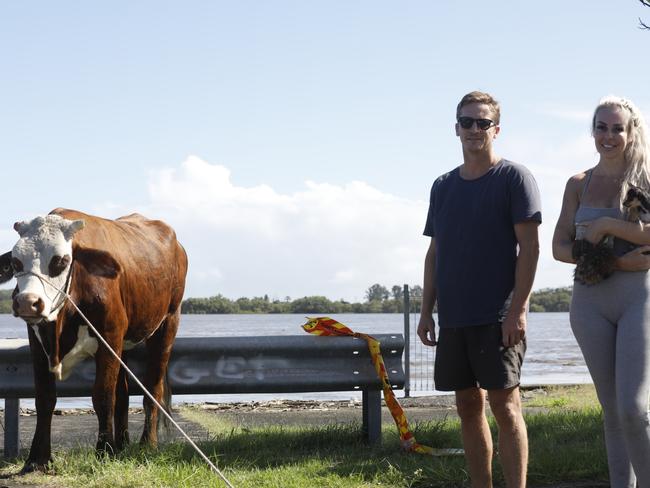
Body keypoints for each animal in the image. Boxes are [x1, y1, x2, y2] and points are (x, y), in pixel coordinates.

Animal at [0, 207, 187, 472]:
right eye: (16, 262)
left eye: (60, 261)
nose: (28, 302)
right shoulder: (38, 344)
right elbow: (44, 399)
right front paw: (38, 459)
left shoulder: (108, 339)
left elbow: (103, 397)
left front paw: (105, 451)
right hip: (124, 344)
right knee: (124, 394)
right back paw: (122, 445)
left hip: (167, 324)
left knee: (153, 388)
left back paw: (146, 444)